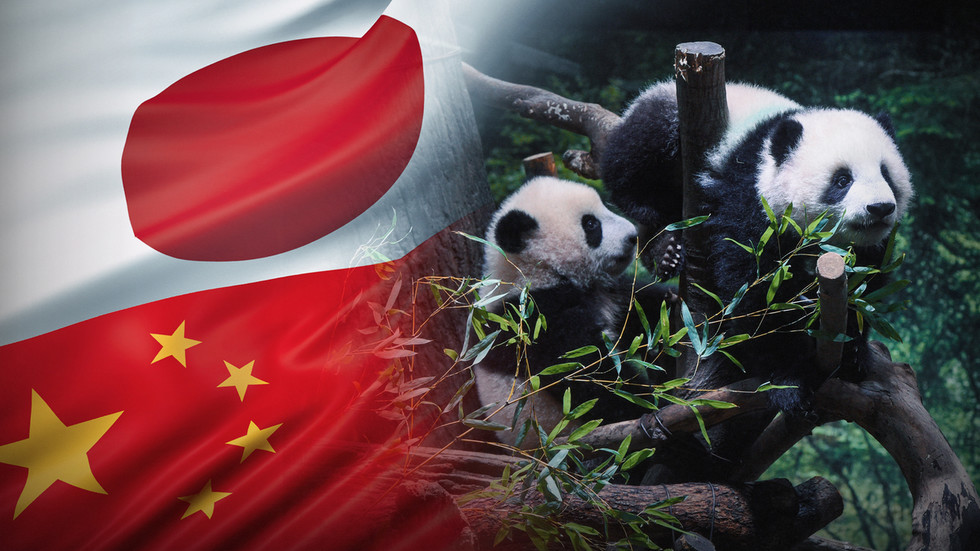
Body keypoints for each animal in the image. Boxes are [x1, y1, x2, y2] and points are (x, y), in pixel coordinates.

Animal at [473, 176, 676, 448]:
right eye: (591, 224)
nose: (633, 236)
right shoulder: (537, 321)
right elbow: (588, 375)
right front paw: (652, 407)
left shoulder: (607, 293)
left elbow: (638, 310)